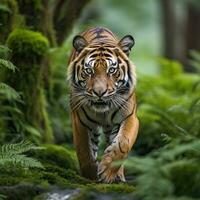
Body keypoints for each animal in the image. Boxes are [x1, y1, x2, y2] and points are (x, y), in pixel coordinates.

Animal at [67, 27, 139, 183]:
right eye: (89, 70)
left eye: (111, 70)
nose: (99, 92)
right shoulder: (80, 121)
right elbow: (84, 151)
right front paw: (91, 175)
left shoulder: (130, 117)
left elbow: (122, 143)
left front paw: (107, 172)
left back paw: (118, 176)